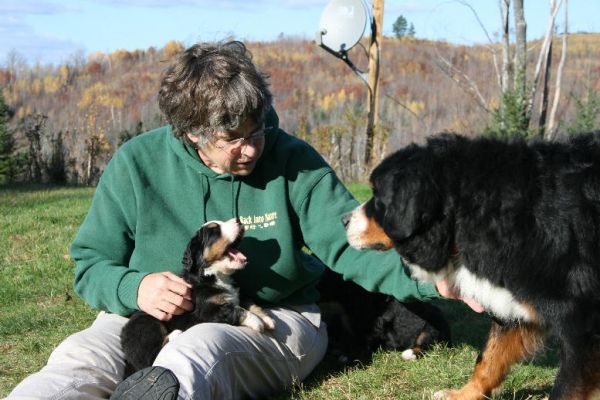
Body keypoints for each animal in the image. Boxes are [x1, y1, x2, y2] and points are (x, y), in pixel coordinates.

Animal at [120, 219, 276, 376]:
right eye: (214, 231)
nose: (238, 220)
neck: (215, 275)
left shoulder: (237, 295)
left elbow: (248, 302)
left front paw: (266, 319)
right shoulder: (208, 310)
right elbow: (236, 309)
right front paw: (257, 322)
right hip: (148, 324)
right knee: (150, 358)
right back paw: (175, 334)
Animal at [318, 266, 450, 362]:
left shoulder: (370, 327)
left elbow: (360, 343)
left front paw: (351, 356)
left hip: (430, 328)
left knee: (425, 344)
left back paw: (409, 354)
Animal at [342, 134, 600, 400]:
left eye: (378, 198)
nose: (343, 220)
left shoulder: (582, 326)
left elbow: (565, 388)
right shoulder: (516, 296)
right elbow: (489, 357)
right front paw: (462, 393)